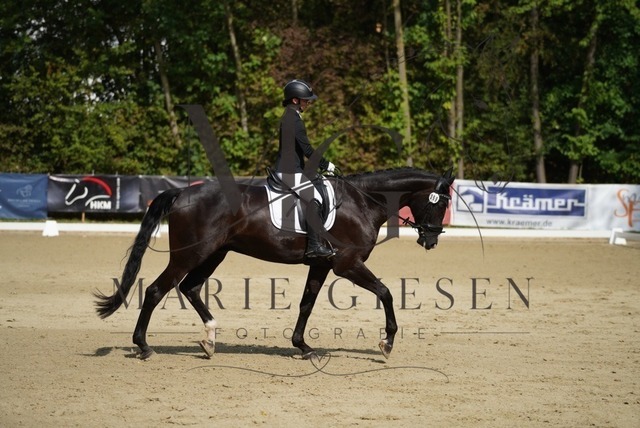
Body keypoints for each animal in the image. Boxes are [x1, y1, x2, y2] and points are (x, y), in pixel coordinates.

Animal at [94, 168, 455, 360]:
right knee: (157, 290)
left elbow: (307, 303)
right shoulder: (346, 264)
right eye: (441, 203)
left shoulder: (322, 265)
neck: (362, 202)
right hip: (190, 254)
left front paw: (303, 346)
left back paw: (209, 340)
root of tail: (182, 193)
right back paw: (144, 346)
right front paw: (387, 342)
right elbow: (386, 293)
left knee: (190, 287)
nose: (431, 240)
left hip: (214, 253)